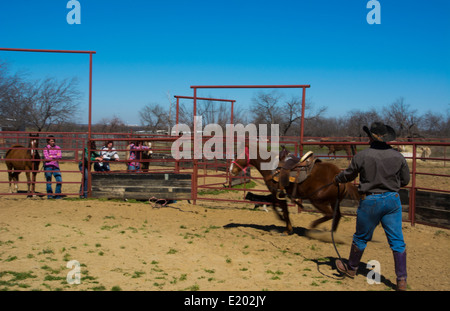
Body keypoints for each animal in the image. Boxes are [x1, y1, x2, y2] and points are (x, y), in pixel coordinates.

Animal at [230, 145, 360, 235]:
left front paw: (287, 228)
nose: (231, 170)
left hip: (317, 201)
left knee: (330, 214)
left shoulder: (277, 193)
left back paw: (314, 228)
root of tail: (339, 176)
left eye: (238, 155)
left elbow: (282, 209)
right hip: (334, 201)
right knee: (337, 216)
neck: (271, 167)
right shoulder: (279, 194)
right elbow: (279, 208)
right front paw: (286, 225)